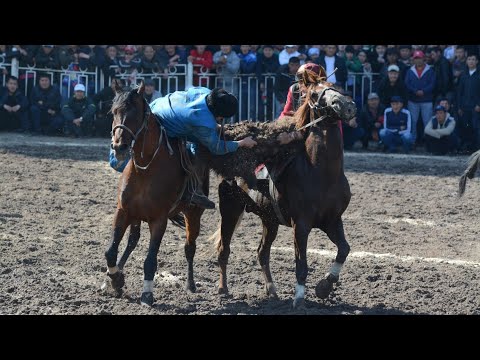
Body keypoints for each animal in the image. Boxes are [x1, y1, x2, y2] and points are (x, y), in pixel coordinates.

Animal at [105, 80, 206, 306]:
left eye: (135, 113)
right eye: (113, 112)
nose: (119, 147)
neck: (145, 169)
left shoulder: (159, 220)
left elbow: (150, 260)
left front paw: (147, 294)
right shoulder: (123, 211)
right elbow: (111, 251)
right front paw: (115, 279)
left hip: (194, 213)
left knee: (190, 247)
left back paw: (191, 285)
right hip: (136, 216)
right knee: (132, 241)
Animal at [213, 81, 356, 310]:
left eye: (337, 87)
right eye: (314, 94)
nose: (346, 105)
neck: (321, 172)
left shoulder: (332, 221)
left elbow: (344, 249)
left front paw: (325, 286)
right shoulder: (301, 225)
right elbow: (301, 264)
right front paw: (299, 300)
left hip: (269, 220)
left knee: (262, 253)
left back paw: (271, 290)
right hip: (230, 210)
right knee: (223, 250)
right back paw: (223, 289)